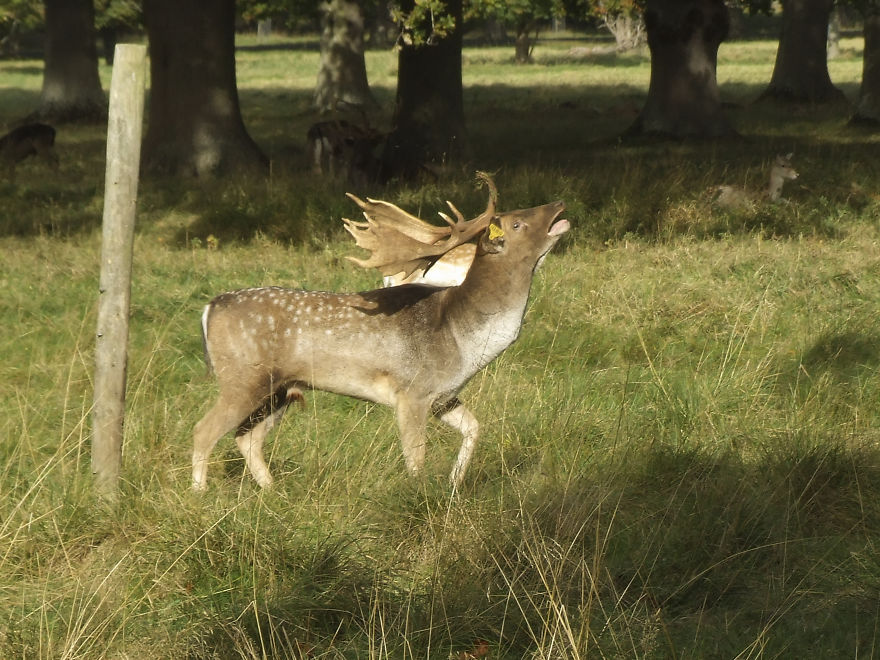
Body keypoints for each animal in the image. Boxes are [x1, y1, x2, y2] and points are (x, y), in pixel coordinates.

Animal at [192, 173, 570, 492]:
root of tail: (210, 308)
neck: (462, 339)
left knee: (246, 438)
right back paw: (200, 494)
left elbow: (475, 428)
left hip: (280, 390)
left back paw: (273, 492)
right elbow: (416, 458)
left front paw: (454, 482)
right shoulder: (412, 391)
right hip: (242, 378)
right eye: (517, 223)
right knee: (204, 431)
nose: (559, 205)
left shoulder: (444, 395)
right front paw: (421, 497)